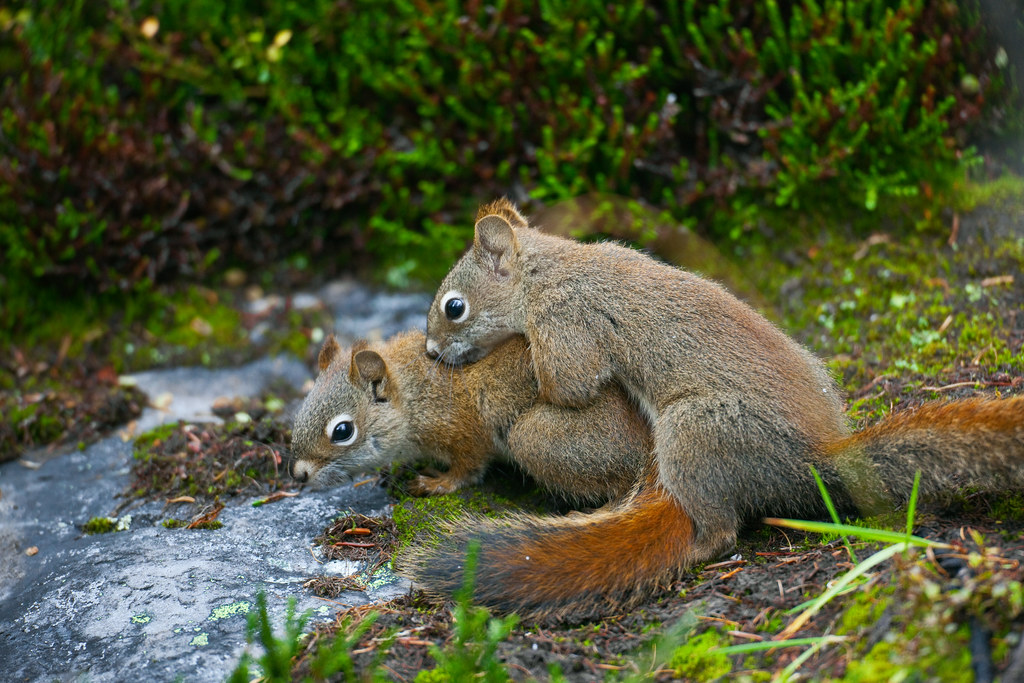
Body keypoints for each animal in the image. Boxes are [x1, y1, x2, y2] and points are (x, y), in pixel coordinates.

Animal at [289, 330, 649, 504]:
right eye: (300, 410)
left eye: (342, 431)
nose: (298, 475)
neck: (415, 394)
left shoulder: (464, 432)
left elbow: (468, 468)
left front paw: (437, 483)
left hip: (539, 440)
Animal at [410, 197, 1024, 620]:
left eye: (455, 307)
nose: (433, 351)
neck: (546, 270)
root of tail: (820, 460)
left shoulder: (567, 322)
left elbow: (569, 387)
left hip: (699, 430)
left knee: (722, 531)